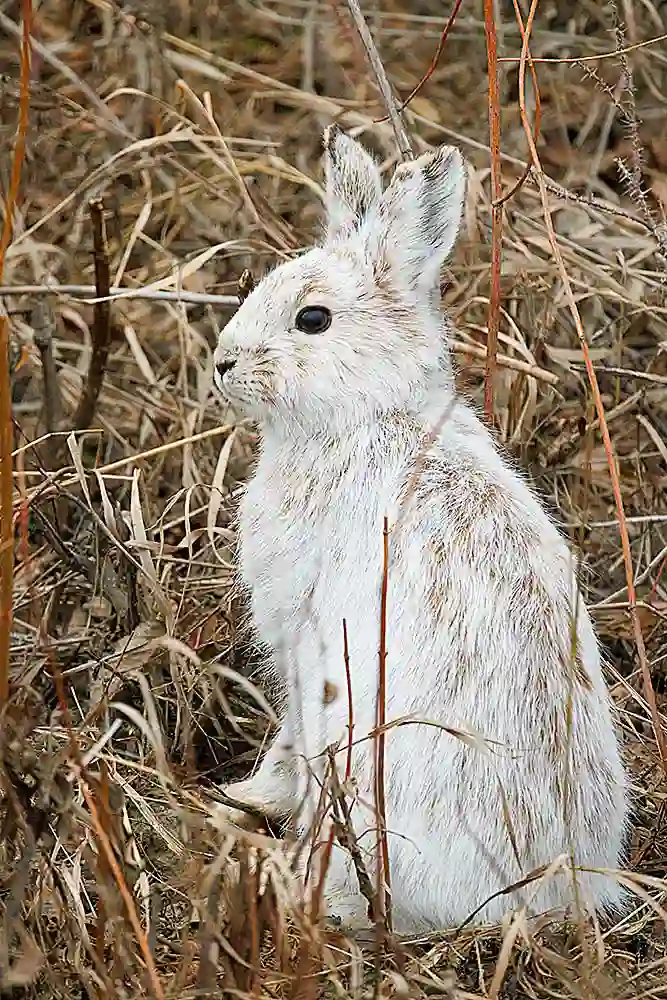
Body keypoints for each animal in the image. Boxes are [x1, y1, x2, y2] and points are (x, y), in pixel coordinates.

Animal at [211, 125, 629, 935]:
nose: (221, 363)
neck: (371, 412)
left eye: (313, 319)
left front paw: (248, 797)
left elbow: (289, 737)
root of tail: (544, 892)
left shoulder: (299, 635)